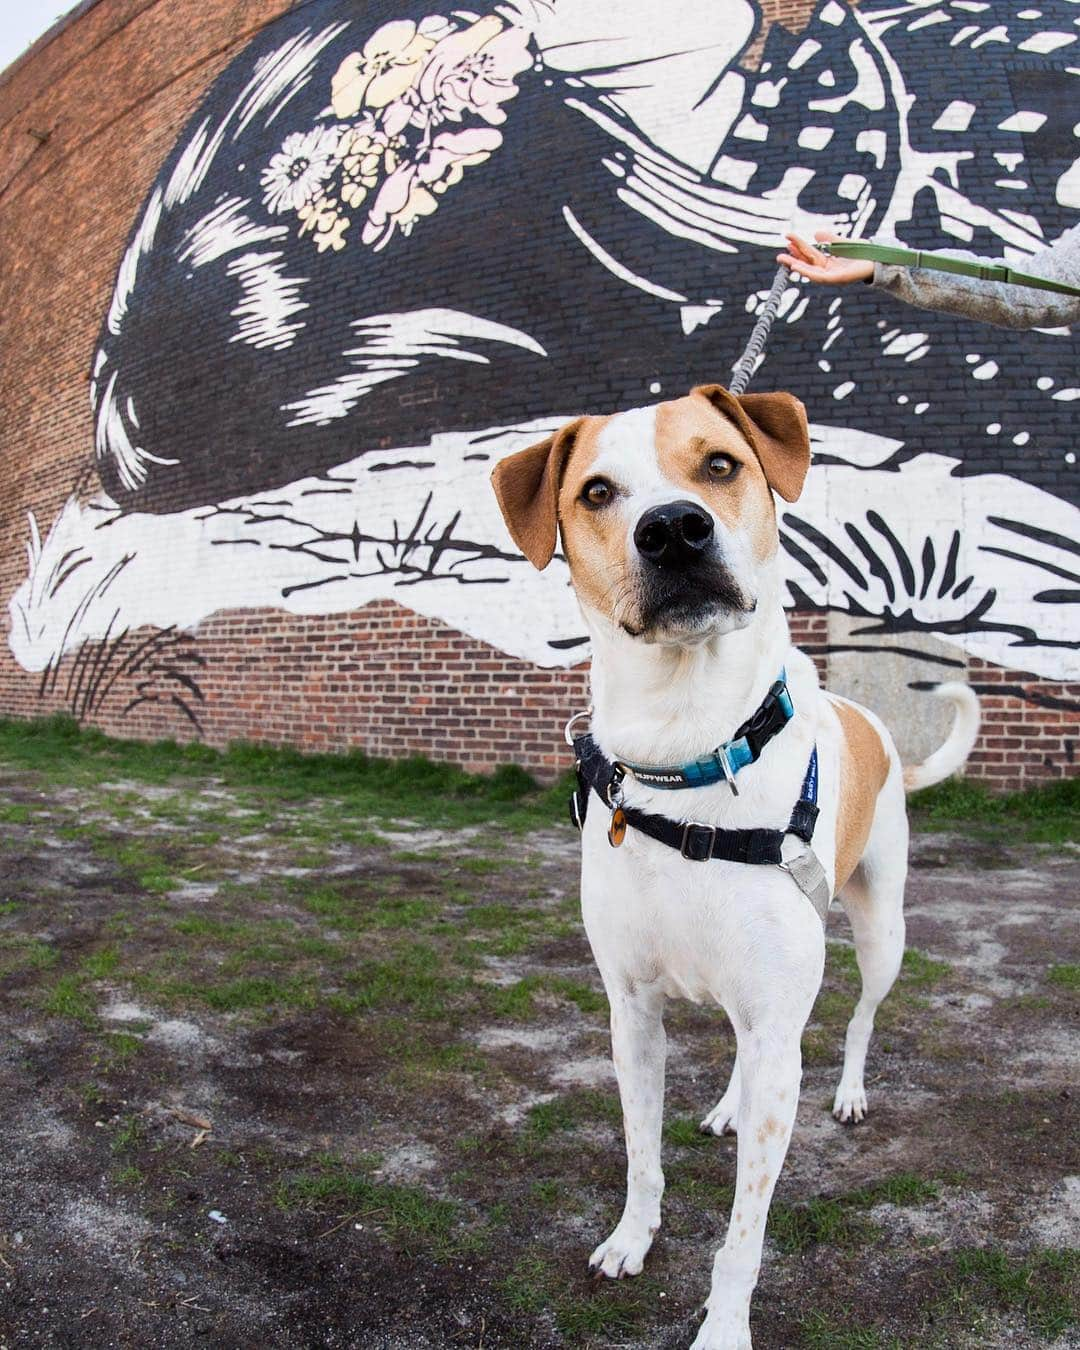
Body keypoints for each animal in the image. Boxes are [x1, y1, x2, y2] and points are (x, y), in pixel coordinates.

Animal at [488, 383, 977, 1350]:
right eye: (596, 493)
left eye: (720, 465)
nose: (674, 529)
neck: (689, 752)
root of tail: (874, 726)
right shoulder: (632, 1013)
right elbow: (642, 1153)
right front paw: (632, 1238)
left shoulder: (777, 1024)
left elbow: (743, 1234)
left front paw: (723, 1327)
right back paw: (725, 1104)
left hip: (881, 929)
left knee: (860, 1016)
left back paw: (851, 1091)